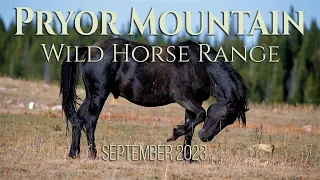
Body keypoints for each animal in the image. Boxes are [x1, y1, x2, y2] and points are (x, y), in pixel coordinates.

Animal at [60, 38, 250, 159]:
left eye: (230, 121)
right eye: (224, 116)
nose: (205, 137)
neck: (200, 66)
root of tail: (89, 49)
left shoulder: (193, 103)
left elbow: (191, 126)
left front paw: (187, 158)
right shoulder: (183, 97)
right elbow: (201, 115)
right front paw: (173, 134)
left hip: (91, 95)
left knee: (78, 119)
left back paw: (73, 153)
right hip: (99, 94)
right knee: (91, 121)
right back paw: (92, 154)